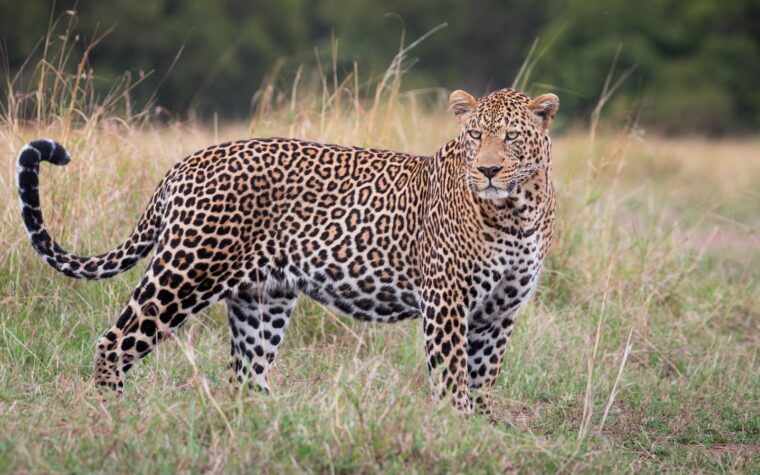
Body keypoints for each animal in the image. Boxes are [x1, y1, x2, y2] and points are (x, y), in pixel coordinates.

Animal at [16, 87, 559, 415]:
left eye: (511, 136)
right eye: (475, 136)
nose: (487, 170)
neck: (516, 213)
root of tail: (185, 163)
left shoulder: (501, 311)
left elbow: (482, 378)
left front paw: (480, 429)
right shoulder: (446, 301)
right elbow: (451, 377)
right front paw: (453, 428)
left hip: (262, 299)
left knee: (246, 376)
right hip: (184, 273)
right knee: (114, 342)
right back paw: (114, 416)